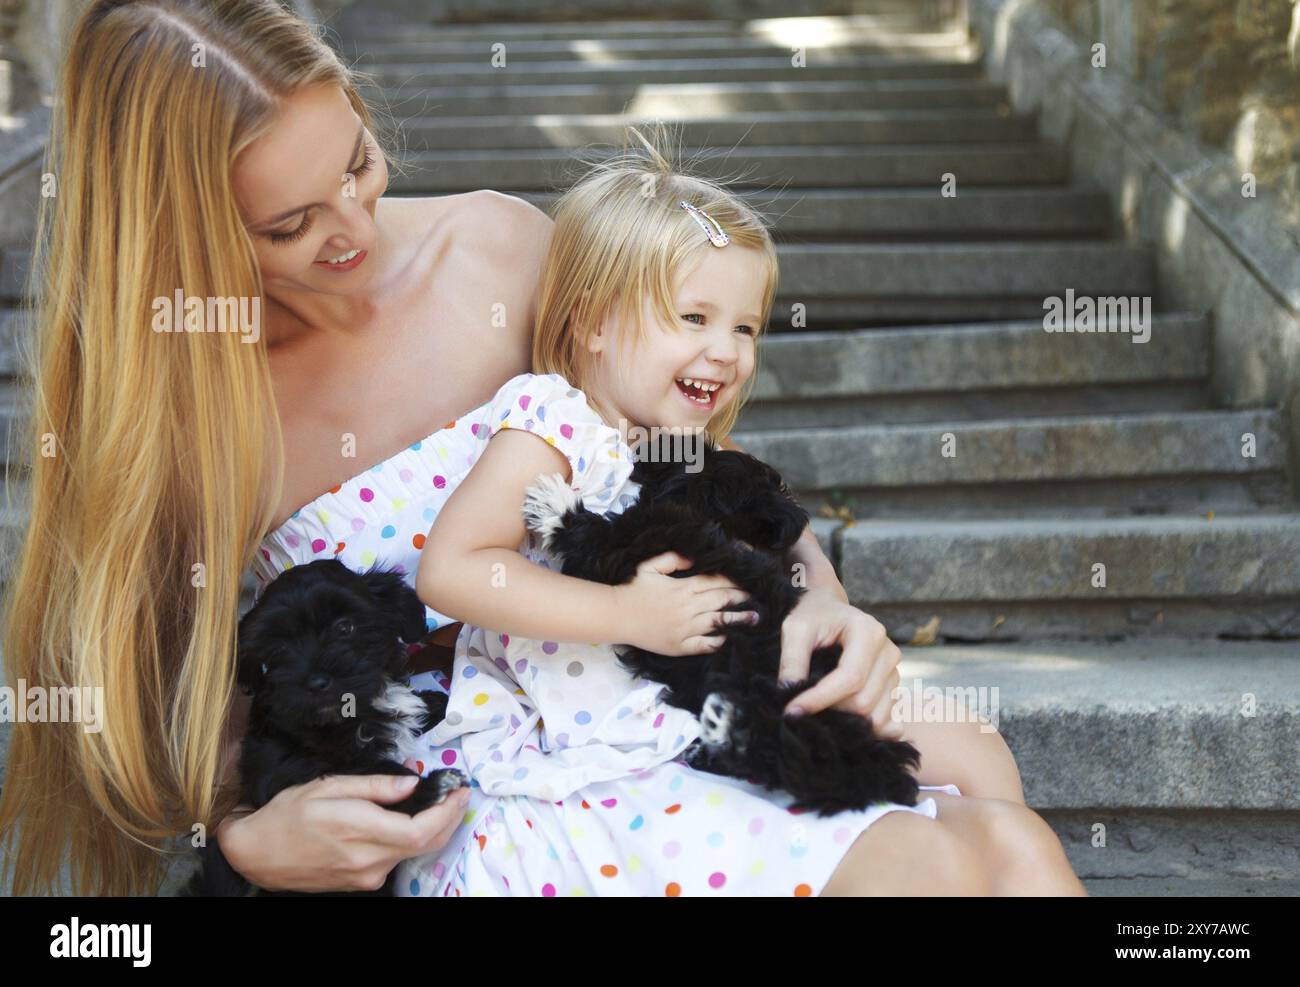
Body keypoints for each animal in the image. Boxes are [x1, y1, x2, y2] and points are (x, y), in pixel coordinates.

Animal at [182, 559, 467, 899]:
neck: (351, 717)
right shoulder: (293, 771)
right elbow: (370, 775)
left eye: (344, 627)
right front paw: (427, 788)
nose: (316, 682)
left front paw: (439, 705)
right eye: (276, 651)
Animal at [520, 434, 925, 816]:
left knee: (799, 757)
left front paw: (555, 505)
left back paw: (729, 725)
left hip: (796, 699)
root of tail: (876, 767)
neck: (715, 517)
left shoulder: (636, 547)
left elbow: (599, 537)